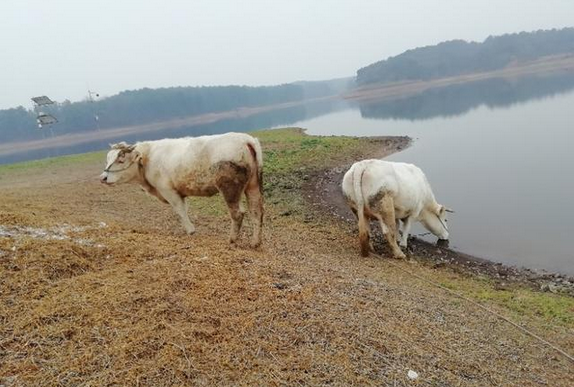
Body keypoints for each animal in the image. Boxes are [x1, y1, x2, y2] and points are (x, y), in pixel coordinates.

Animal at [99, 133, 266, 249]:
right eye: (108, 159)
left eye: (121, 159)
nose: (103, 178)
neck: (148, 157)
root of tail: (246, 139)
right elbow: (183, 209)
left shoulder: (168, 190)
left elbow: (180, 210)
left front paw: (191, 231)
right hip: (253, 185)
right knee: (256, 211)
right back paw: (255, 242)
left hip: (230, 188)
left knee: (238, 213)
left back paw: (232, 239)